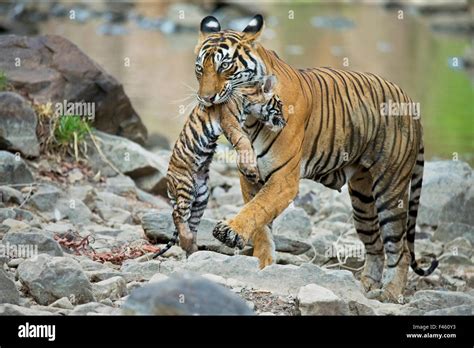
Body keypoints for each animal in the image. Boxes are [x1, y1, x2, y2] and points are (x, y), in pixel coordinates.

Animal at [195, 14, 436, 300]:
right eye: (200, 69)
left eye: (226, 66)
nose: (206, 99)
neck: (252, 120)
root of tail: (412, 103)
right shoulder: (250, 177)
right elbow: (262, 225)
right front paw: (263, 265)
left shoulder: (284, 179)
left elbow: (257, 209)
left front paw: (230, 231)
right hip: (363, 200)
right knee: (375, 244)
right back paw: (367, 286)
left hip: (390, 190)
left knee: (400, 248)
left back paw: (390, 292)